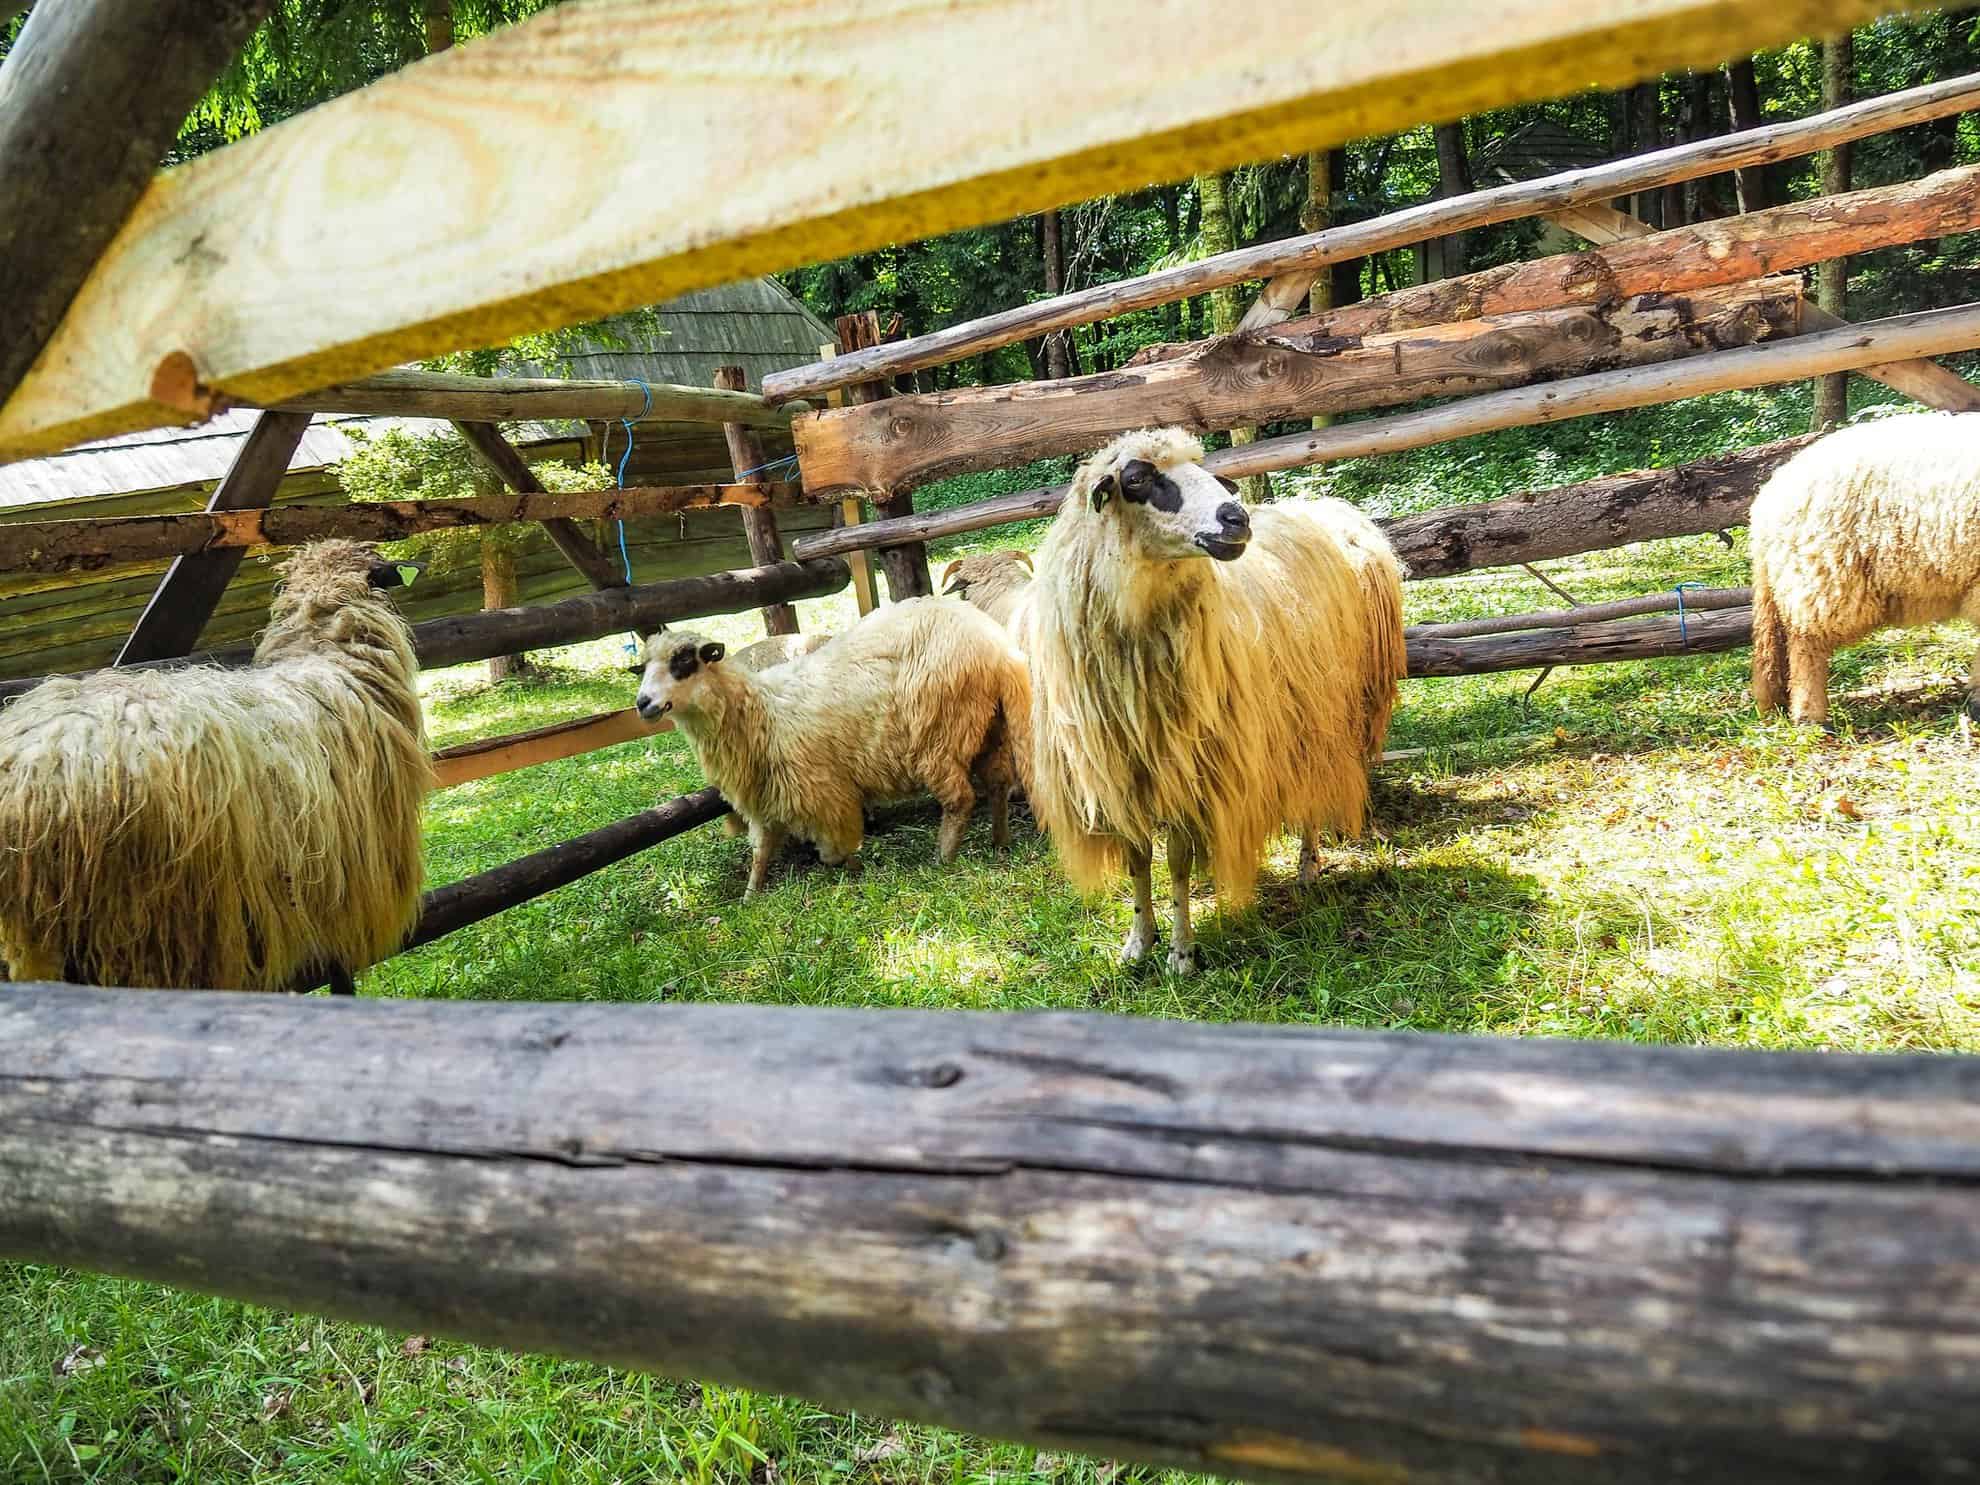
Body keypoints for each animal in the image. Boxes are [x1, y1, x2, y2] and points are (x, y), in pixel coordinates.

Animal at [0, 542, 431, 993]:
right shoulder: (346, 874)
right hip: (151, 929)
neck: (325, 656)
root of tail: (29, 785)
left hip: (47, 938)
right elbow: (339, 970)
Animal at [637, 597, 1037, 902]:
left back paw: (944, 857)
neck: (759, 713)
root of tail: (998, 650)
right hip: (990, 728)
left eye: (684, 661)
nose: (643, 703)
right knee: (998, 784)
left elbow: (835, 849)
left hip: (939, 733)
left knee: (960, 800)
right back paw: (1000, 842)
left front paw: (855, 870)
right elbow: (761, 852)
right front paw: (751, 896)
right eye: (641, 668)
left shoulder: (823, 792)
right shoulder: (767, 797)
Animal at [1021, 427, 1409, 978]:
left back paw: (1308, 866)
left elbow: (1178, 862)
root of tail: (1331, 509)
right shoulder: (1121, 774)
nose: (1236, 518)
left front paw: (1181, 952)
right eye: (1136, 479)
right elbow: (1139, 861)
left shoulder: (1193, 770)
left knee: (1314, 792)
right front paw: (1138, 942)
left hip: (1334, 709)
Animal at [1750, 413, 1980, 728]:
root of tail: (1767, 500)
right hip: (1825, 576)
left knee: (1777, 644)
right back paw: (1811, 716)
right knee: (1806, 645)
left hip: (1791, 579)